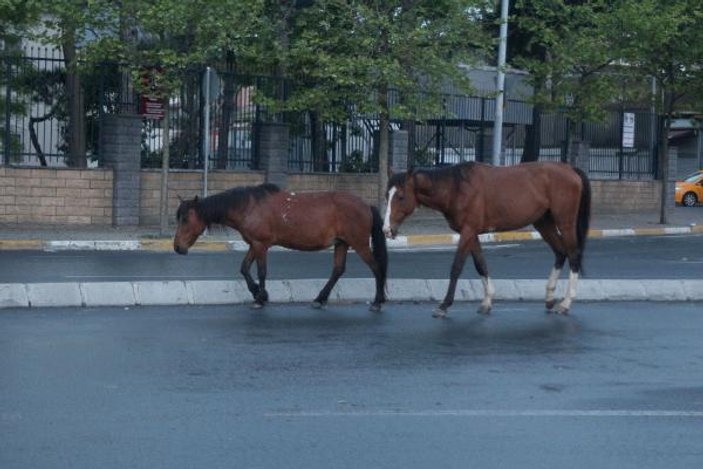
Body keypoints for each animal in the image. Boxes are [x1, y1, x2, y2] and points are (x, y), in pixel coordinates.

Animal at [173, 183, 388, 310]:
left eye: (185, 219)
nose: (177, 247)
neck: (248, 206)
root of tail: (366, 206)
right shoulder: (254, 244)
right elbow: (244, 269)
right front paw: (257, 292)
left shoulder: (261, 245)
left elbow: (261, 272)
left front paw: (260, 298)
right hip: (341, 244)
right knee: (338, 270)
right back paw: (320, 298)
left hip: (359, 243)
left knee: (377, 267)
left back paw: (377, 302)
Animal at [382, 161, 592, 314]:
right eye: (387, 196)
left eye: (401, 196)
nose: (386, 230)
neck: (457, 188)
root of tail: (570, 169)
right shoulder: (471, 233)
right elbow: (480, 265)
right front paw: (487, 300)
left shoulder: (467, 231)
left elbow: (456, 267)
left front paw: (444, 305)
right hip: (543, 223)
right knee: (560, 253)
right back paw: (549, 297)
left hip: (565, 224)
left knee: (573, 255)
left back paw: (566, 303)